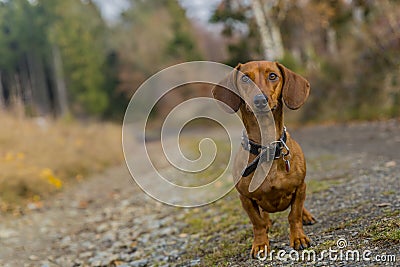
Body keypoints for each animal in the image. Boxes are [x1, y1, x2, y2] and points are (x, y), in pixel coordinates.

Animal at [211, 61, 318, 258]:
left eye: (273, 76)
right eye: (245, 78)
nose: (260, 100)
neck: (267, 149)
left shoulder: (300, 187)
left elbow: (294, 215)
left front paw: (298, 237)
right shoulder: (245, 198)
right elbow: (258, 223)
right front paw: (261, 244)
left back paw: (306, 216)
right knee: (263, 216)